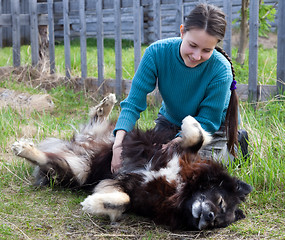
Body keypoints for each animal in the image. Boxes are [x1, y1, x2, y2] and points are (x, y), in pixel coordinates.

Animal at [11, 94, 251, 231]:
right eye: (220, 202)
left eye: (218, 222)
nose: (208, 218)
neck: (181, 188)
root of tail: (79, 143)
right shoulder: (176, 153)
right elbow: (198, 136)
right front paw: (190, 121)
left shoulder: (130, 189)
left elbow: (123, 200)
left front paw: (93, 203)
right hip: (99, 146)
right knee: (104, 122)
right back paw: (106, 104)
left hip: (79, 169)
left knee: (49, 160)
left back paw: (26, 149)